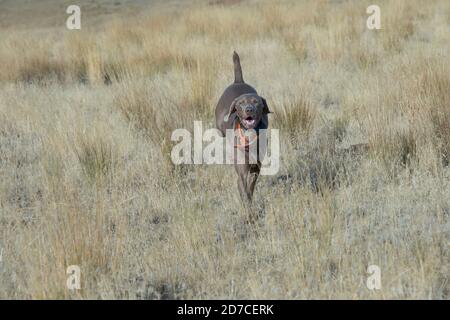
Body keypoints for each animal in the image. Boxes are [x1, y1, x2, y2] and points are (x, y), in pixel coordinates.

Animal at [214, 51, 270, 215]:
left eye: (256, 102)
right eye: (241, 104)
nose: (249, 109)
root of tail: (238, 81)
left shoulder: (256, 168)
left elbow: (250, 188)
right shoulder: (242, 173)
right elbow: (244, 190)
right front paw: (249, 213)